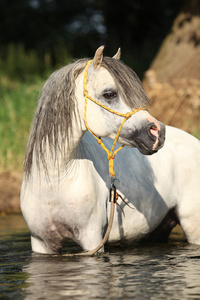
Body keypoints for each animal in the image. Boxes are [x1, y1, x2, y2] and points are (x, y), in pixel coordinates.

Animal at [20, 45, 200, 254]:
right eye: (109, 94)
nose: (158, 132)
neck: (55, 180)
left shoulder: (92, 240)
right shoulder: (41, 242)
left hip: (193, 226)